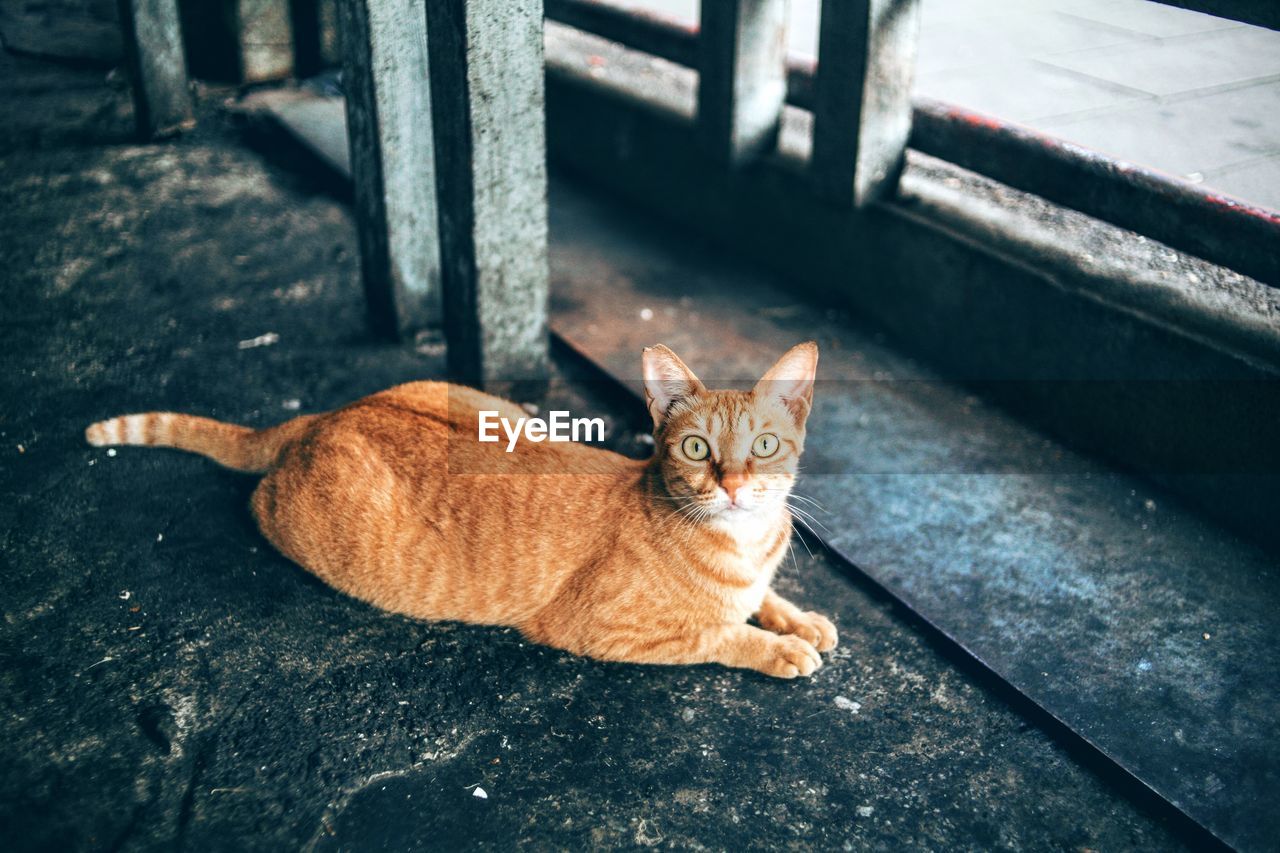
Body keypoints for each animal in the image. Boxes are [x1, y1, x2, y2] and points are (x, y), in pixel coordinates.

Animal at [85, 343, 834, 676]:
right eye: (697, 447)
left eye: (765, 446)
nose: (732, 484)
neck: (743, 539)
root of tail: (328, 415)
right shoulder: (601, 628)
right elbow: (717, 632)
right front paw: (778, 647)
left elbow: (763, 599)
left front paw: (798, 618)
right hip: (283, 517)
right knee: (252, 499)